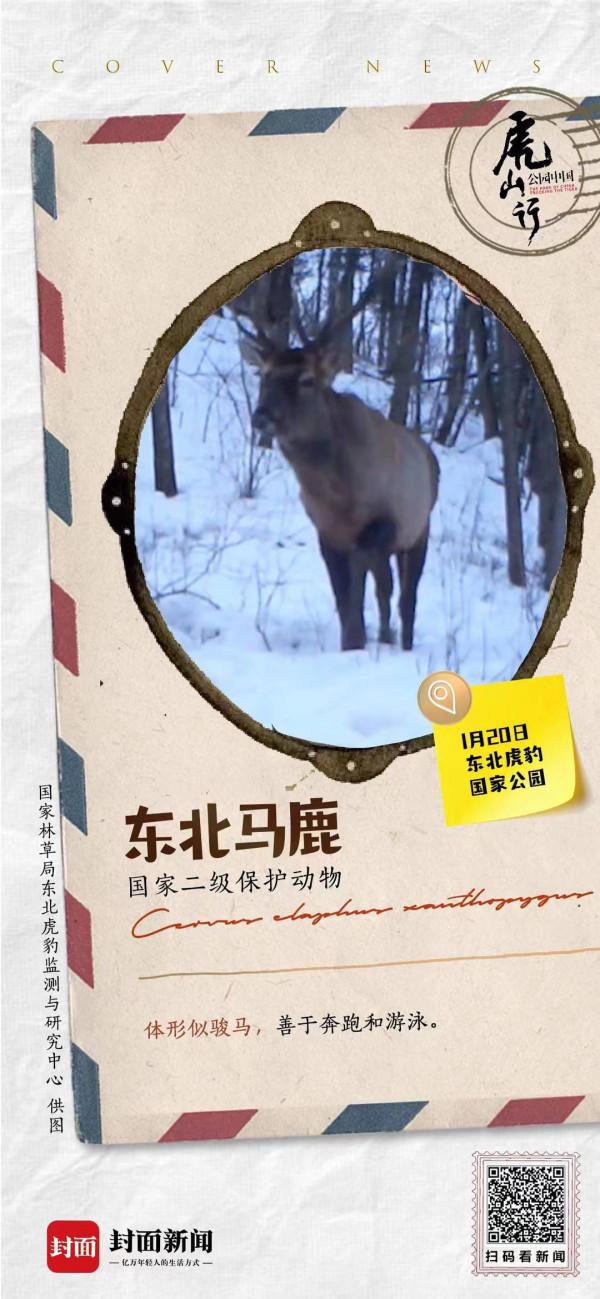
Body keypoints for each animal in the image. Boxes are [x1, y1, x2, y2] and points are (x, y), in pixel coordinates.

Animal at [238, 278, 439, 653]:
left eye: (307, 379)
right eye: (264, 376)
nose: (262, 416)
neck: (339, 494)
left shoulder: (383, 523)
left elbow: (362, 588)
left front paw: (358, 642)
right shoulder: (327, 533)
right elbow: (344, 596)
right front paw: (354, 643)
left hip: (419, 529)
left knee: (406, 597)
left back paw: (402, 643)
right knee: (386, 589)